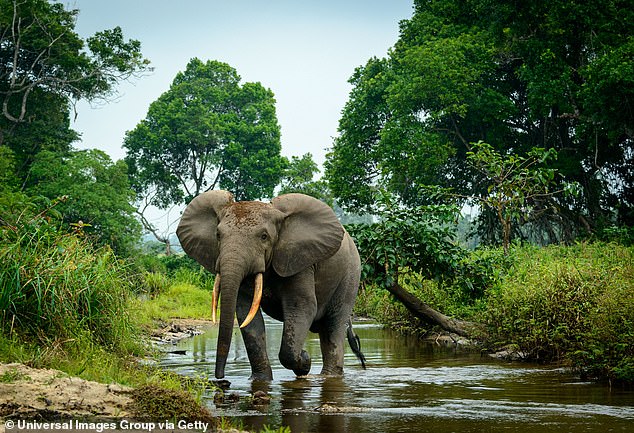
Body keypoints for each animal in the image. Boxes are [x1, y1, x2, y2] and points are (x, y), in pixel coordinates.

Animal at [177, 189, 366, 378]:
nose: (220, 377)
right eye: (217, 235)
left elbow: (302, 306)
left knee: (334, 325)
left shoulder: (300, 261)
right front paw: (260, 379)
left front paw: (305, 361)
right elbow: (247, 314)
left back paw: (328, 376)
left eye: (264, 237)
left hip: (350, 276)